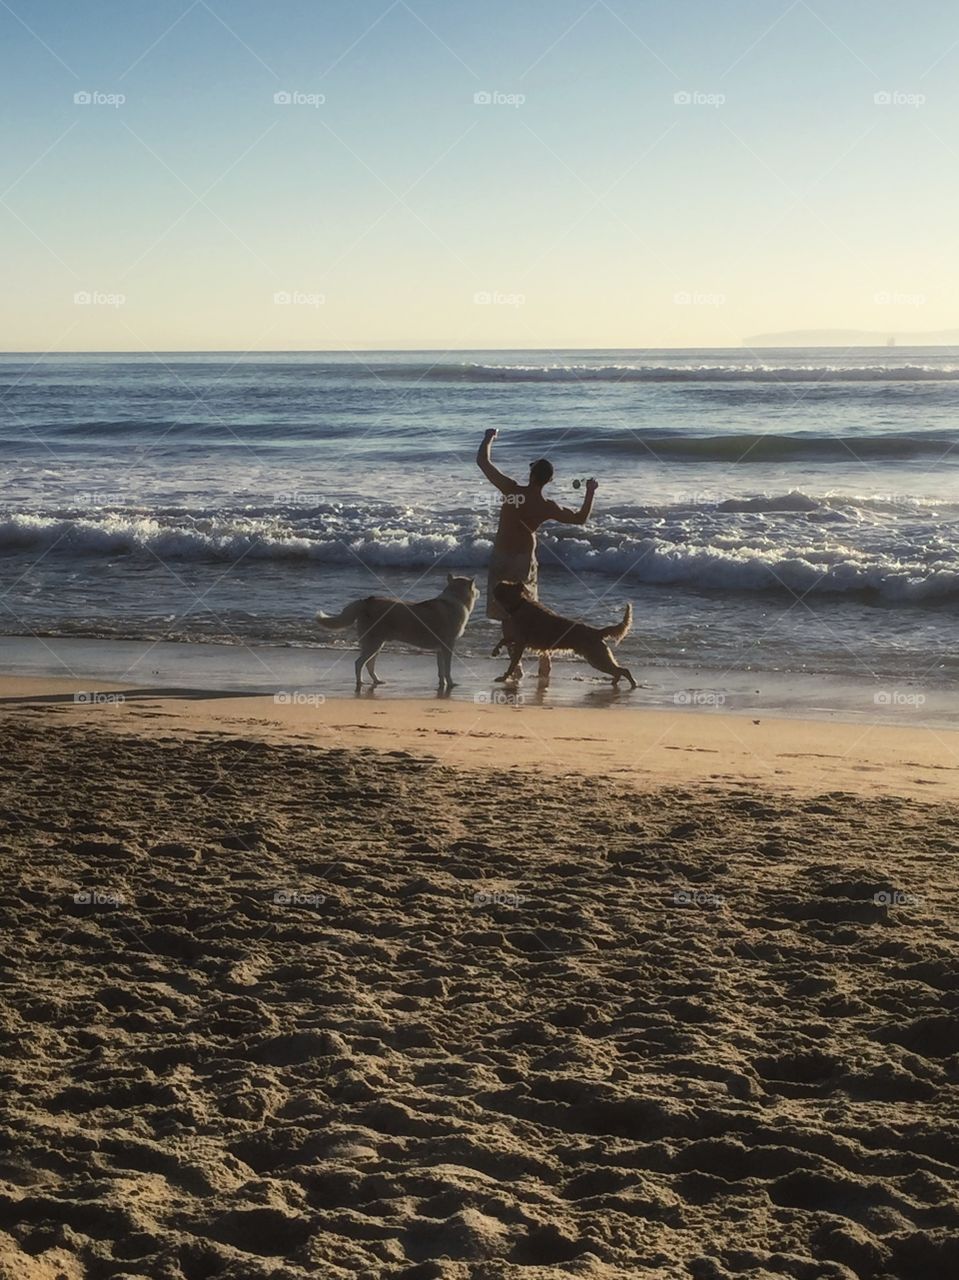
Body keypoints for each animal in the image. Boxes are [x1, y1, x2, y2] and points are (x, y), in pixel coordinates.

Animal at [316, 573, 476, 691]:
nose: (479, 591)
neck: (455, 599)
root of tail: (366, 601)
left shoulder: (440, 649)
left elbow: (441, 670)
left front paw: (442, 684)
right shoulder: (448, 647)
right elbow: (447, 669)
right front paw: (450, 684)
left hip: (376, 644)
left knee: (369, 665)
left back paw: (377, 681)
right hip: (373, 644)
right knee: (359, 663)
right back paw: (360, 683)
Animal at [494, 581, 635, 691]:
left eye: (505, 585)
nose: (497, 584)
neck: (518, 605)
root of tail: (597, 632)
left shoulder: (521, 642)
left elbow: (512, 663)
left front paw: (504, 677)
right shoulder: (518, 639)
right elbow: (503, 639)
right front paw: (496, 650)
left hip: (597, 659)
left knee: (623, 670)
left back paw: (632, 684)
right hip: (597, 658)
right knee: (618, 671)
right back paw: (616, 682)